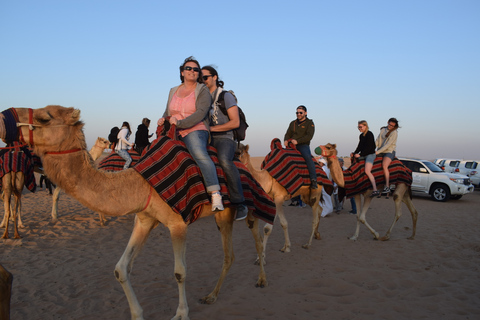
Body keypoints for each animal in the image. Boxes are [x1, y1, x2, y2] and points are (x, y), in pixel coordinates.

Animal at [7, 105, 268, 320]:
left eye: (44, 117)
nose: (5, 117)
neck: (141, 183)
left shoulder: (177, 224)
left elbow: (179, 272)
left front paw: (181, 314)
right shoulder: (144, 219)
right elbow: (121, 269)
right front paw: (137, 313)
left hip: (247, 205)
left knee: (255, 239)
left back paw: (261, 279)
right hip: (222, 216)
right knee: (230, 255)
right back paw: (212, 296)